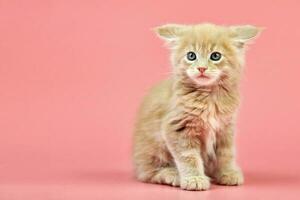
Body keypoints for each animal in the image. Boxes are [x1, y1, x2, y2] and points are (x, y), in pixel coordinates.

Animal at [132, 23, 262, 191]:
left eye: (215, 56)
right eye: (191, 56)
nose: (201, 68)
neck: (208, 97)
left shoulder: (225, 128)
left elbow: (226, 154)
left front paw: (228, 173)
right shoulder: (177, 127)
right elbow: (189, 157)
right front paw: (194, 179)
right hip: (153, 150)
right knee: (150, 172)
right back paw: (173, 175)